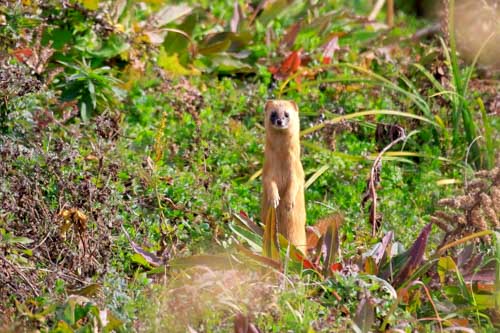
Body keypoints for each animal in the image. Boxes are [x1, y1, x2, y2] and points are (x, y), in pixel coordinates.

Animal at [260, 100, 306, 250]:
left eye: (286, 114)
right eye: (273, 114)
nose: (279, 121)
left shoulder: (296, 171)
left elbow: (295, 183)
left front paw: (288, 202)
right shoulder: (268, 170)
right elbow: (269, 183)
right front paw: (274, 199)